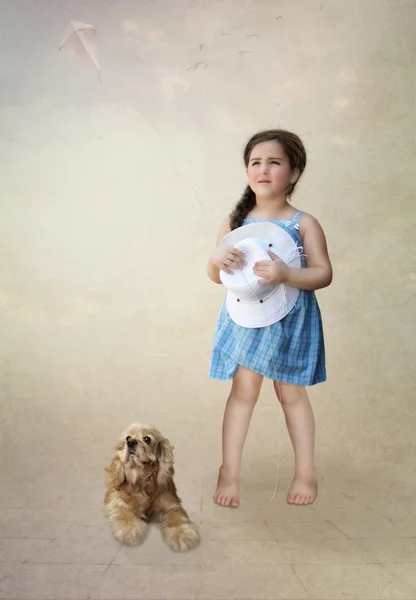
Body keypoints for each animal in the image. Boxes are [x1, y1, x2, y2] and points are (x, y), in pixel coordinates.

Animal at [105, 424, 201, 552]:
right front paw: (130, 530)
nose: (130, 442)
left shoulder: (170, 503)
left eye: (147, 439)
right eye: (127, 438)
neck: (141, 480)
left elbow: (176, 515)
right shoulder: (115, 498)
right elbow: (123, 511)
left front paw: (183, 534)